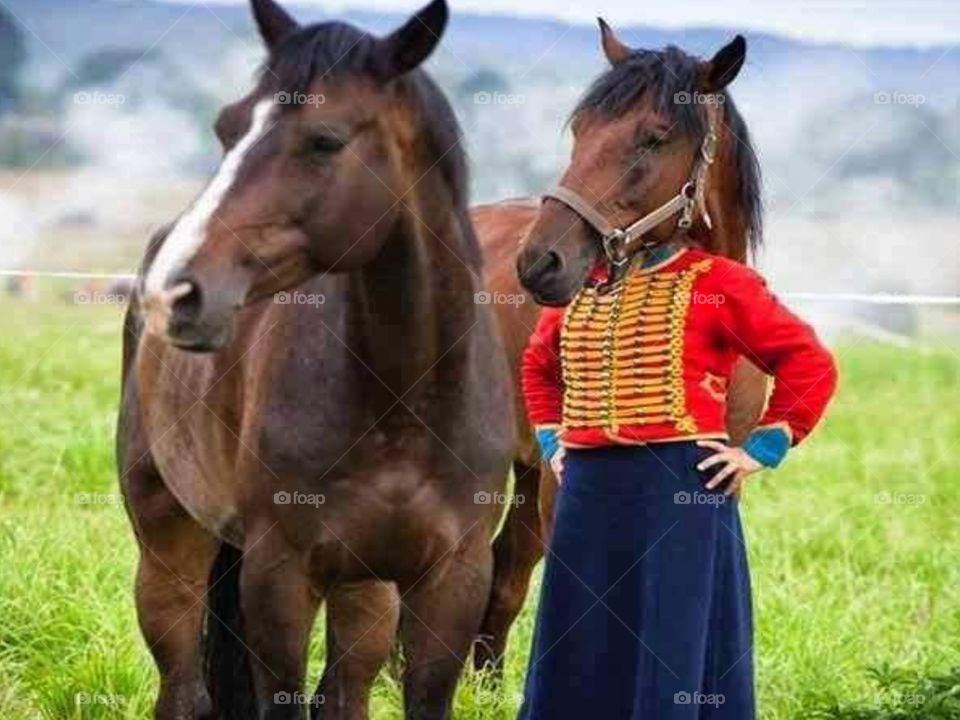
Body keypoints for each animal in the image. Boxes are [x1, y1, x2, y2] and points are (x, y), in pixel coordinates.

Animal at [117, 1, 515, 718]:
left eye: (325, 140)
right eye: (227, 127)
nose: (176, 292)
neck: (402, 398)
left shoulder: (454, 579)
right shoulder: (278, 576)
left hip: (366, 591)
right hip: (168, 543)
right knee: (182, 684)